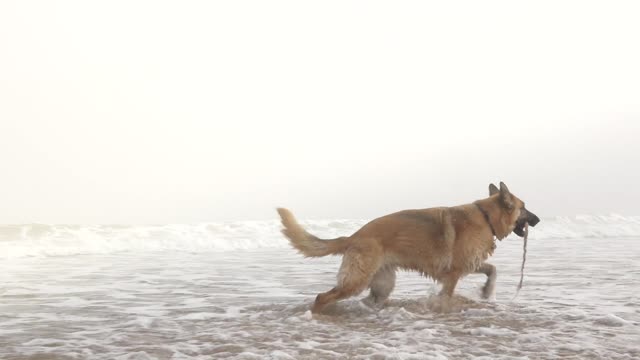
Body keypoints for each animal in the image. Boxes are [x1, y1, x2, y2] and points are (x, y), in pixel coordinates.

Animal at [278, 181, 536, 314]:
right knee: (322, 296)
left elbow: (492, 270)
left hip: (382, 285)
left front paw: (486, 291)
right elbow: (446, 297)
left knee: (369, 300)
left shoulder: (468, 265)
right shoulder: (452, 274)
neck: (486, 216)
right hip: (356, 281)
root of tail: (354, 236)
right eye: (524, 208)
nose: (538, 219)